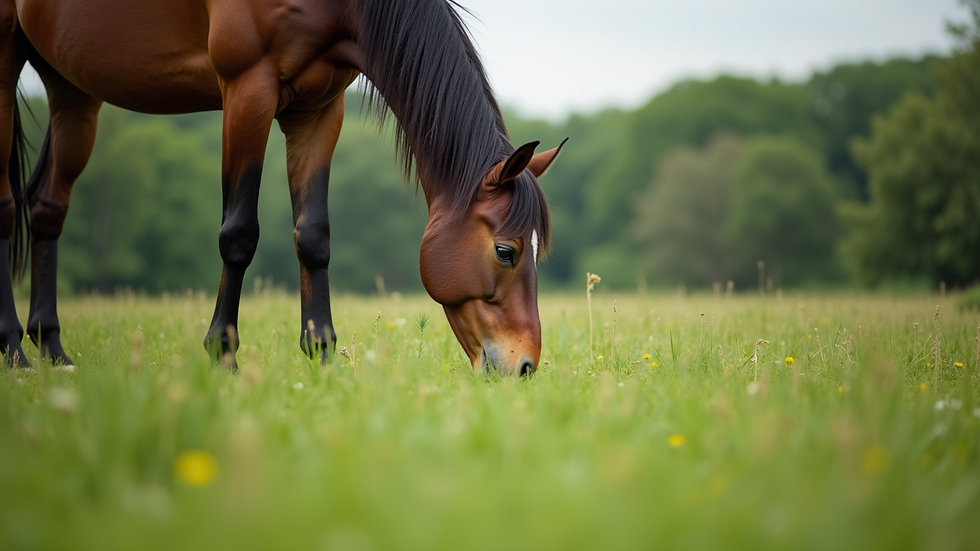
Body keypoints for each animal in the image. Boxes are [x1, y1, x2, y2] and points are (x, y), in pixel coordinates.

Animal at [0, 0, 564, 374]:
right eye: (506, 251)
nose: (525, 366)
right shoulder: (247, 90)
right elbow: (238, 233)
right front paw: (222, 355)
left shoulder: (318, 110)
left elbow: (313, 234)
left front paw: (322, 355)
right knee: (7, 207)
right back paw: (14, 353)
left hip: (71, 86)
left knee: (48, 207)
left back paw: (53, 351)